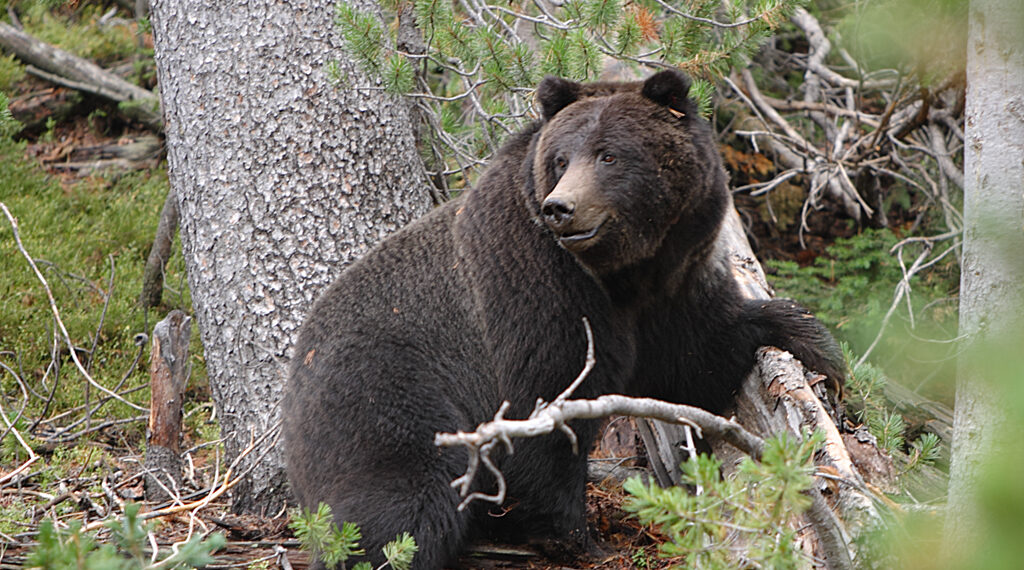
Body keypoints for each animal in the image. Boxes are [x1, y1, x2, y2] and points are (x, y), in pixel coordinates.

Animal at [282, 70, 843, 570]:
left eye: (609, 154)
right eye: (560, 159)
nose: (561, 208)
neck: (623, 274)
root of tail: (291, 385)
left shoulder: (673, 284)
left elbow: (695, 360)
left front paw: (810, 339)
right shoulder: (539, 287)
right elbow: (549, 405)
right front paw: (580, 540)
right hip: (384, 391)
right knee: (408, 496)